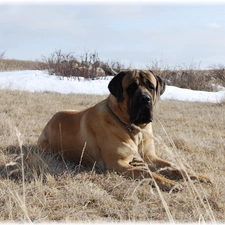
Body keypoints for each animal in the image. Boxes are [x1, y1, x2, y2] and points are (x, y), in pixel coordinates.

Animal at [37, 69, 210, 191]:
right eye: (131, 87)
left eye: (151, 86)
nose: (145, 99)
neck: (134, 129)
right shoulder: (117, 164)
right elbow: (147, 173)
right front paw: (169, 183)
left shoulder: (150, 157)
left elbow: (174, 166)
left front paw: (195, 175)